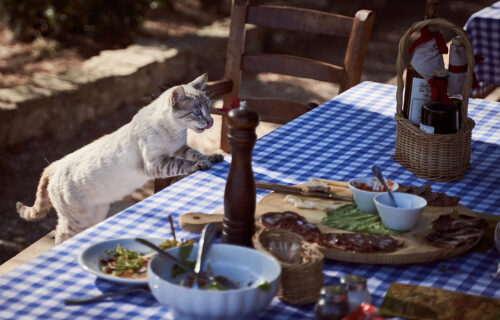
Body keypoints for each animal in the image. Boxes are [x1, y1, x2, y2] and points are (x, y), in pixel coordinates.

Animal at [16, 73, 223, 242]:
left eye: (209, 108)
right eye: (196, 112)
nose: (211, 121)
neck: (175, 132)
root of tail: (55, 165)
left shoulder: (179, 148)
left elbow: (195, 153)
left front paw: (212, 158)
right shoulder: (156, 162)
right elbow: (183, 163)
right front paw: (199, 165)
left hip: (97, 213)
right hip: (78, 219)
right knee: (60, 236)